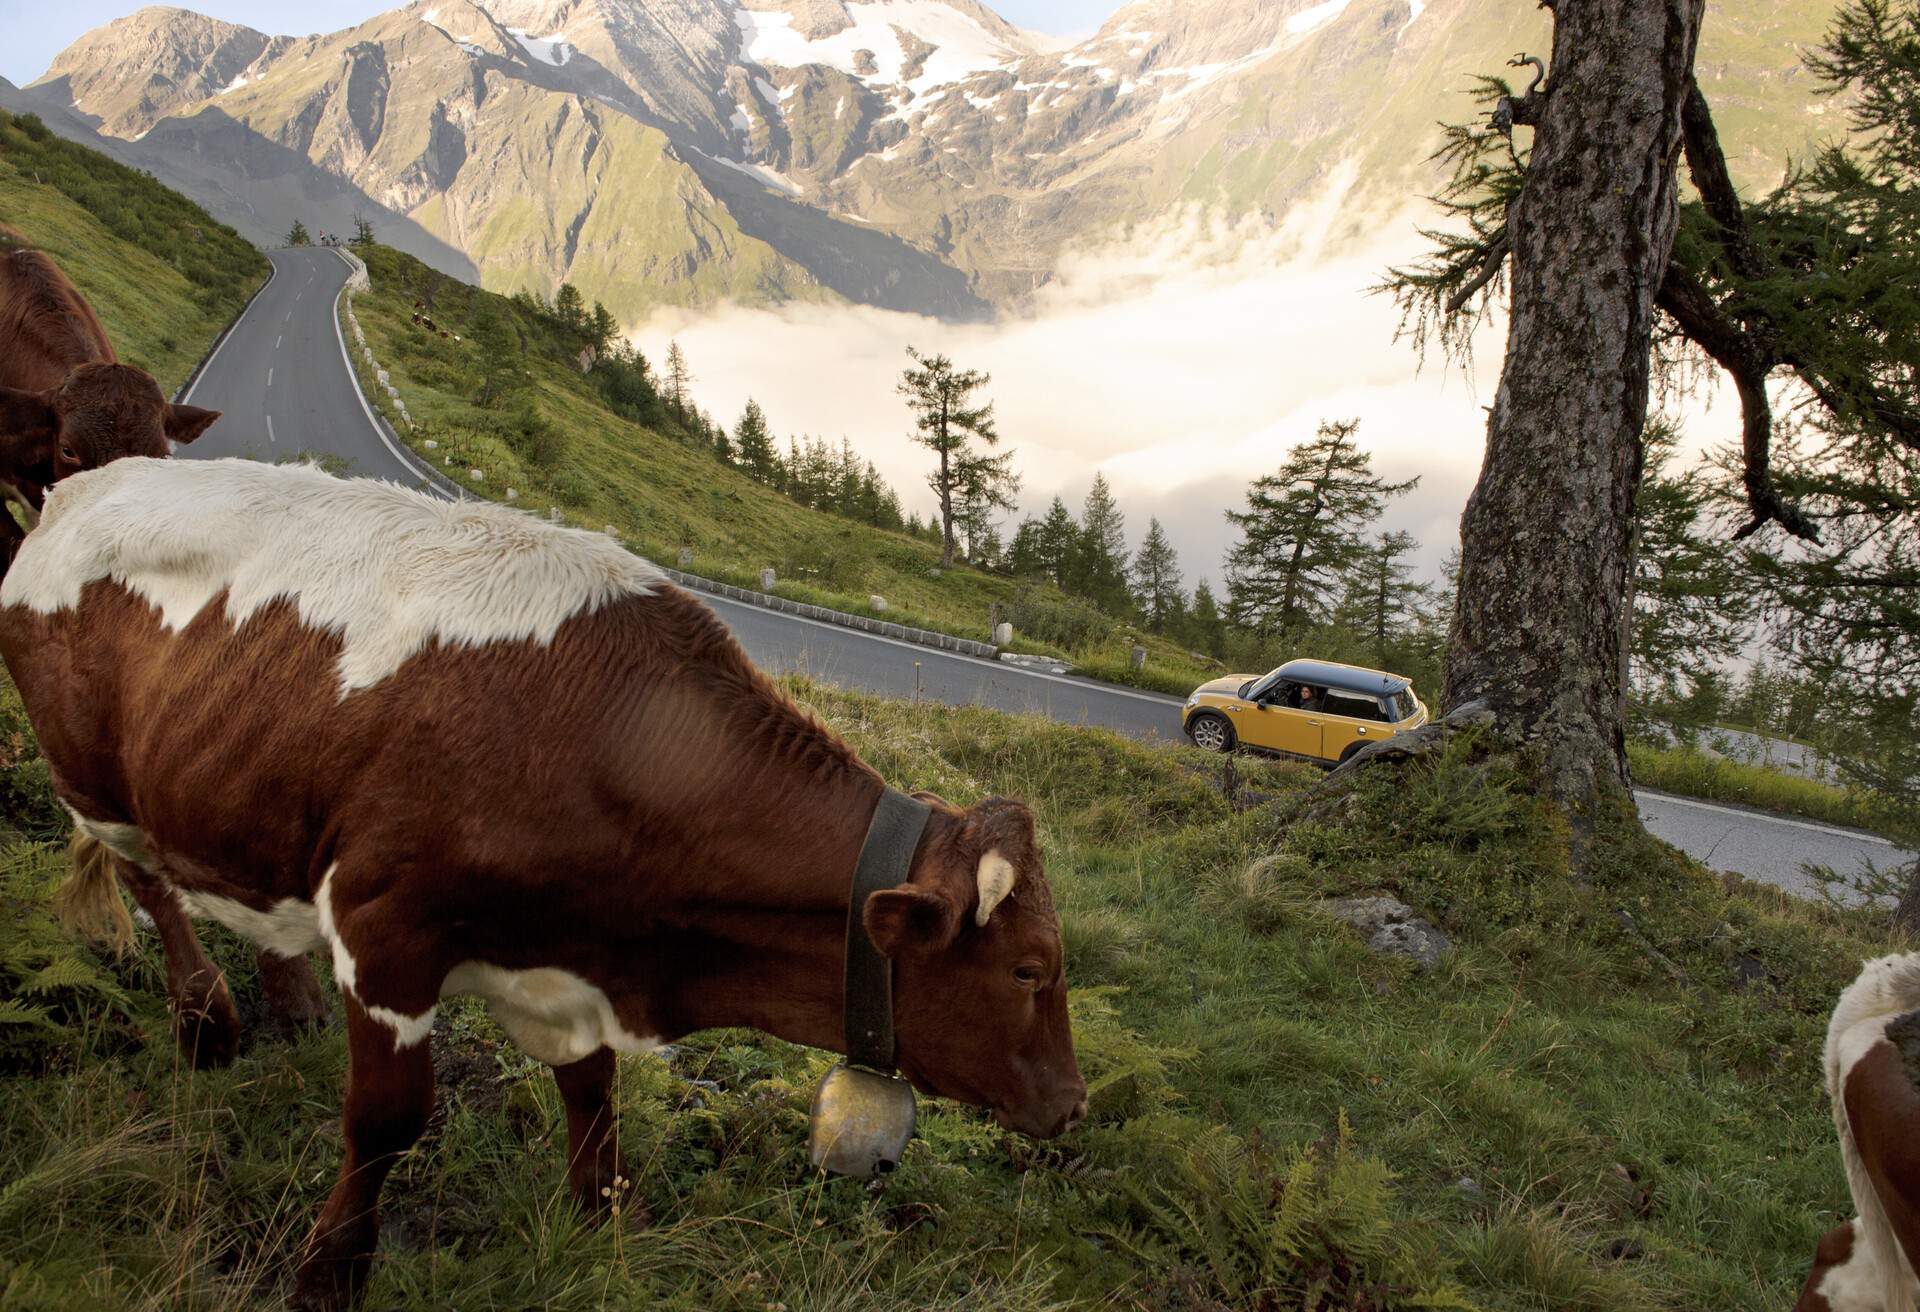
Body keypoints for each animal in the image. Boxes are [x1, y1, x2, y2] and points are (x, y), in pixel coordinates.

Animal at [0, 457, 1090, 1306]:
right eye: (1031, 969)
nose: (1075, 1106)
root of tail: (84, 483)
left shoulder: (571, 969)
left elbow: (593, 1093)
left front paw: (601, 1221)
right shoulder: (384, 936)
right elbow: (388, 1122)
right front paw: (328, 1272)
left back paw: (289, 997)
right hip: (96, 782)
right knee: (150, 885)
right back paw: (205, 1020)